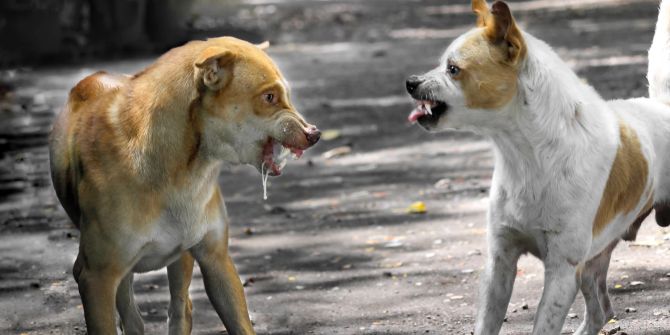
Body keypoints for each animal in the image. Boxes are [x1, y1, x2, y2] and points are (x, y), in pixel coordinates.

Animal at [48, 36, 322, 334]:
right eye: (269, 97)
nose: (314, 134)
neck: (182, 171)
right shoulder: (96, 277)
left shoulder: (216, 260)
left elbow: (239, 322)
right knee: (132, 314)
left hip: (182, 260)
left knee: (180, 307)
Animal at [406, 1, 670, 334]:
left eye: (452, 69)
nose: (410, 82)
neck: (528, 159)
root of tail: (663, 108)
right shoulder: (500, 263)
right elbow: (486, 323)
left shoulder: (561, 273)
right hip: (591, 265)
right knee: (601, 311)